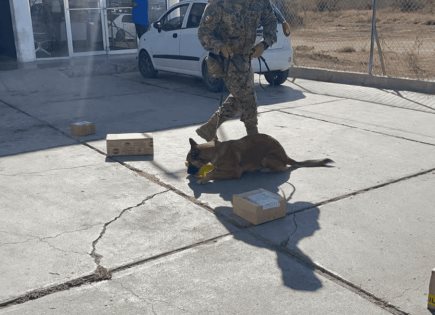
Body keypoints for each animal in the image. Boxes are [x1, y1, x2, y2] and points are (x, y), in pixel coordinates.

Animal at [186, 134, 334, 184]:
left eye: (189, 163)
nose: (187, 173)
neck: (215, 150)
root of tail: (285, 155)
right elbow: (213, 170)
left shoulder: (235, 172)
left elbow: (212, 173)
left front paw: (204, 179)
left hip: (266, 158)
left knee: (283, 168)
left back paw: (265, 170)